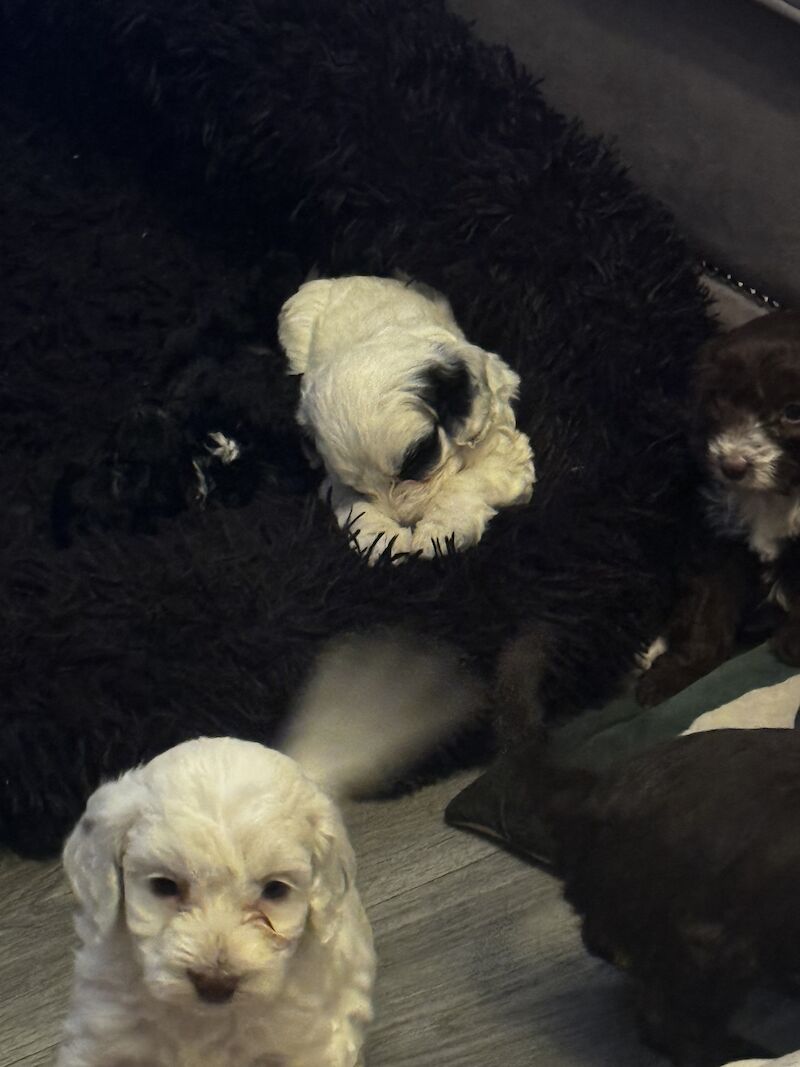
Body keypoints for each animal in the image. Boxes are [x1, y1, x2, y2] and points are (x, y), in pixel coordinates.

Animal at [57, 631, 482, 1067]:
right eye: (163, 887)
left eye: (275, 890)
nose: (215, 983)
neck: (203, 1021)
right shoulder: (104, 1036)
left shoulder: (306, 1045)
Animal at [279, 273, 535, 559]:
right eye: (359, 488)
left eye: (418, 458)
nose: (406, 521)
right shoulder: (336, 482)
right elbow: (354, 505)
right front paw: (381, 539)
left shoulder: (504, 452)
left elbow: (466, 483)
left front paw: (439, 533)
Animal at [644, 311, 800, 708]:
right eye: (720, 400)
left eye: (793, 412)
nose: (732, 466)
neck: (774, 495)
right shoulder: (720, 547)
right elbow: (708, 615)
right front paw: (675, 674)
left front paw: (793, 642)